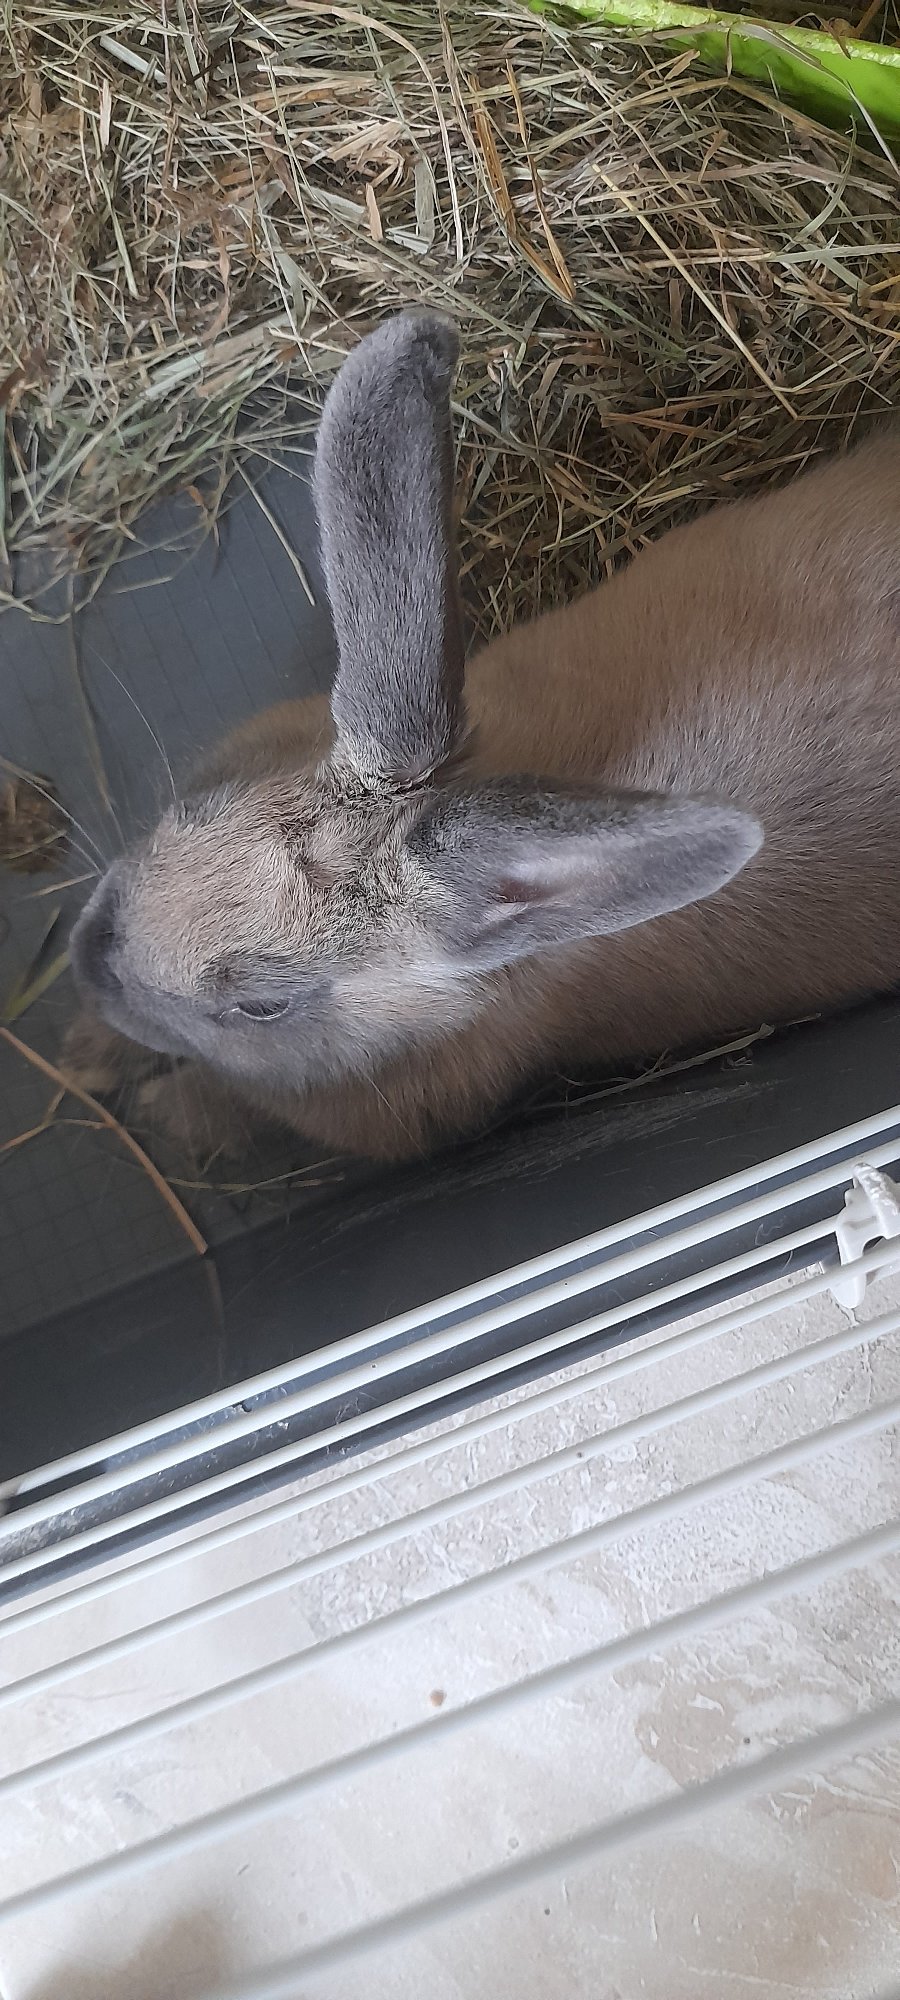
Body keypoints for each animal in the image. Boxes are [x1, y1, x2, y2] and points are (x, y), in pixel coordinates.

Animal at [66, 310, 900, 1163]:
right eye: (195, 807)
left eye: (262, 1006)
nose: (90, 958)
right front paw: (87, 1049)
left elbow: (232, 1108)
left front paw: (138, 1091)